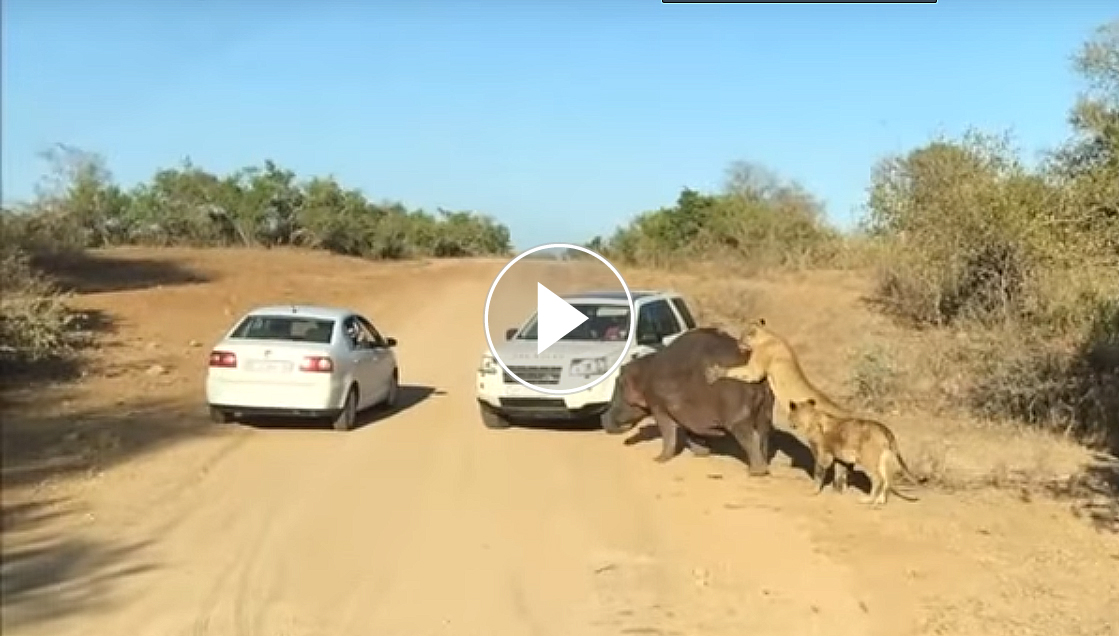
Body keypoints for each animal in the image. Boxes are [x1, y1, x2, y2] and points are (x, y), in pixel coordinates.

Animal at [604, 331, 778, 474]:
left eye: (618, 383)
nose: (603, 417)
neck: (643, 371)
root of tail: (760, 378)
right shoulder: (686, 411)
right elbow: (690, 432)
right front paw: (702, 453)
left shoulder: (658, 405)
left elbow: (667, 431)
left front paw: (658, 459)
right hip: (766, 411)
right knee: (763, 434)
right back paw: (762, 466)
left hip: (738, 414)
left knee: (750, 436)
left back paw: (755, 471)